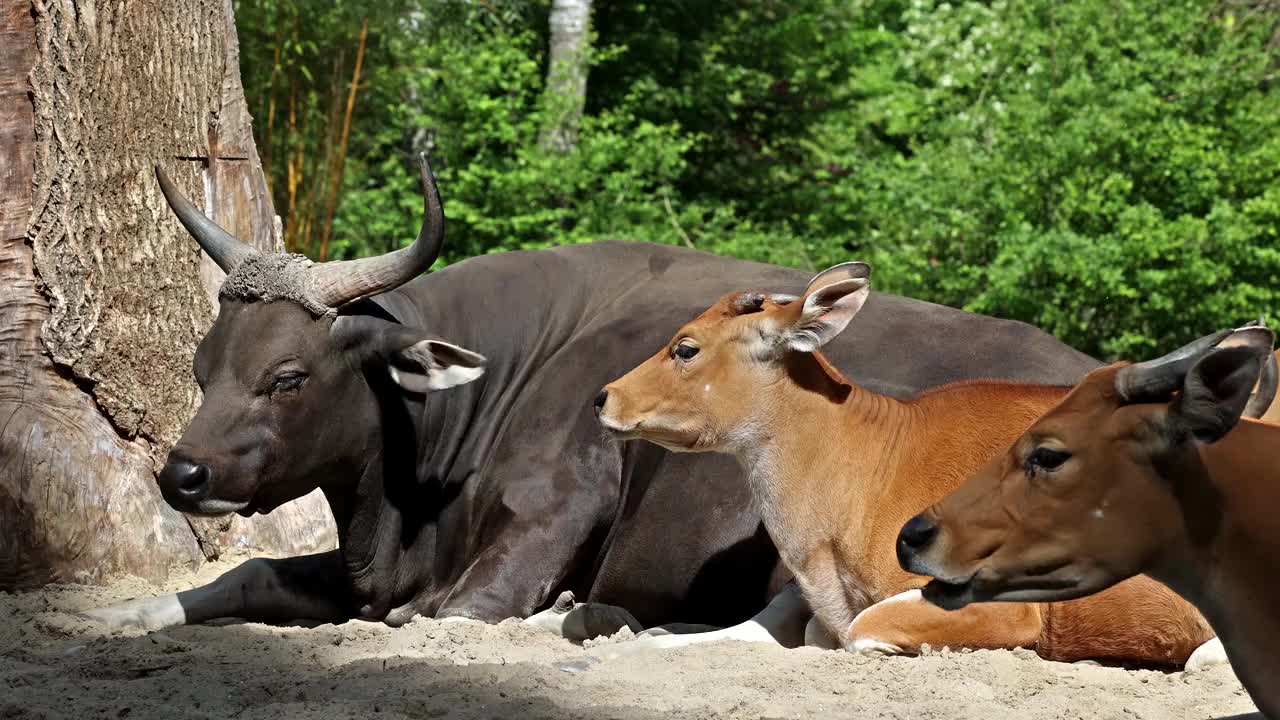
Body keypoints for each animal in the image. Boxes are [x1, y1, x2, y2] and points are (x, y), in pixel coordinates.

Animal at [87, 158, 1100, 632]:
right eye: (203, 364)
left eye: (288, 376)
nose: (182, 474)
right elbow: (254, 572)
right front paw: (133, 615)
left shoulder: (558, 504)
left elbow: (452, 614)